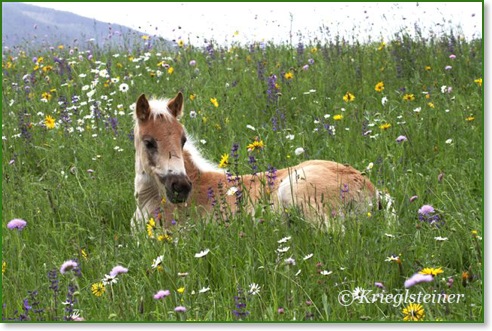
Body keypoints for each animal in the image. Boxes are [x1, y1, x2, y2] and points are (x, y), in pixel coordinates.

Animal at [131, 92, 376, 230]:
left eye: (183, 140)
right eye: (149, 142)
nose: (181, 188)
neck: (149, 201)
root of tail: (372, 191)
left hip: (295, 190)